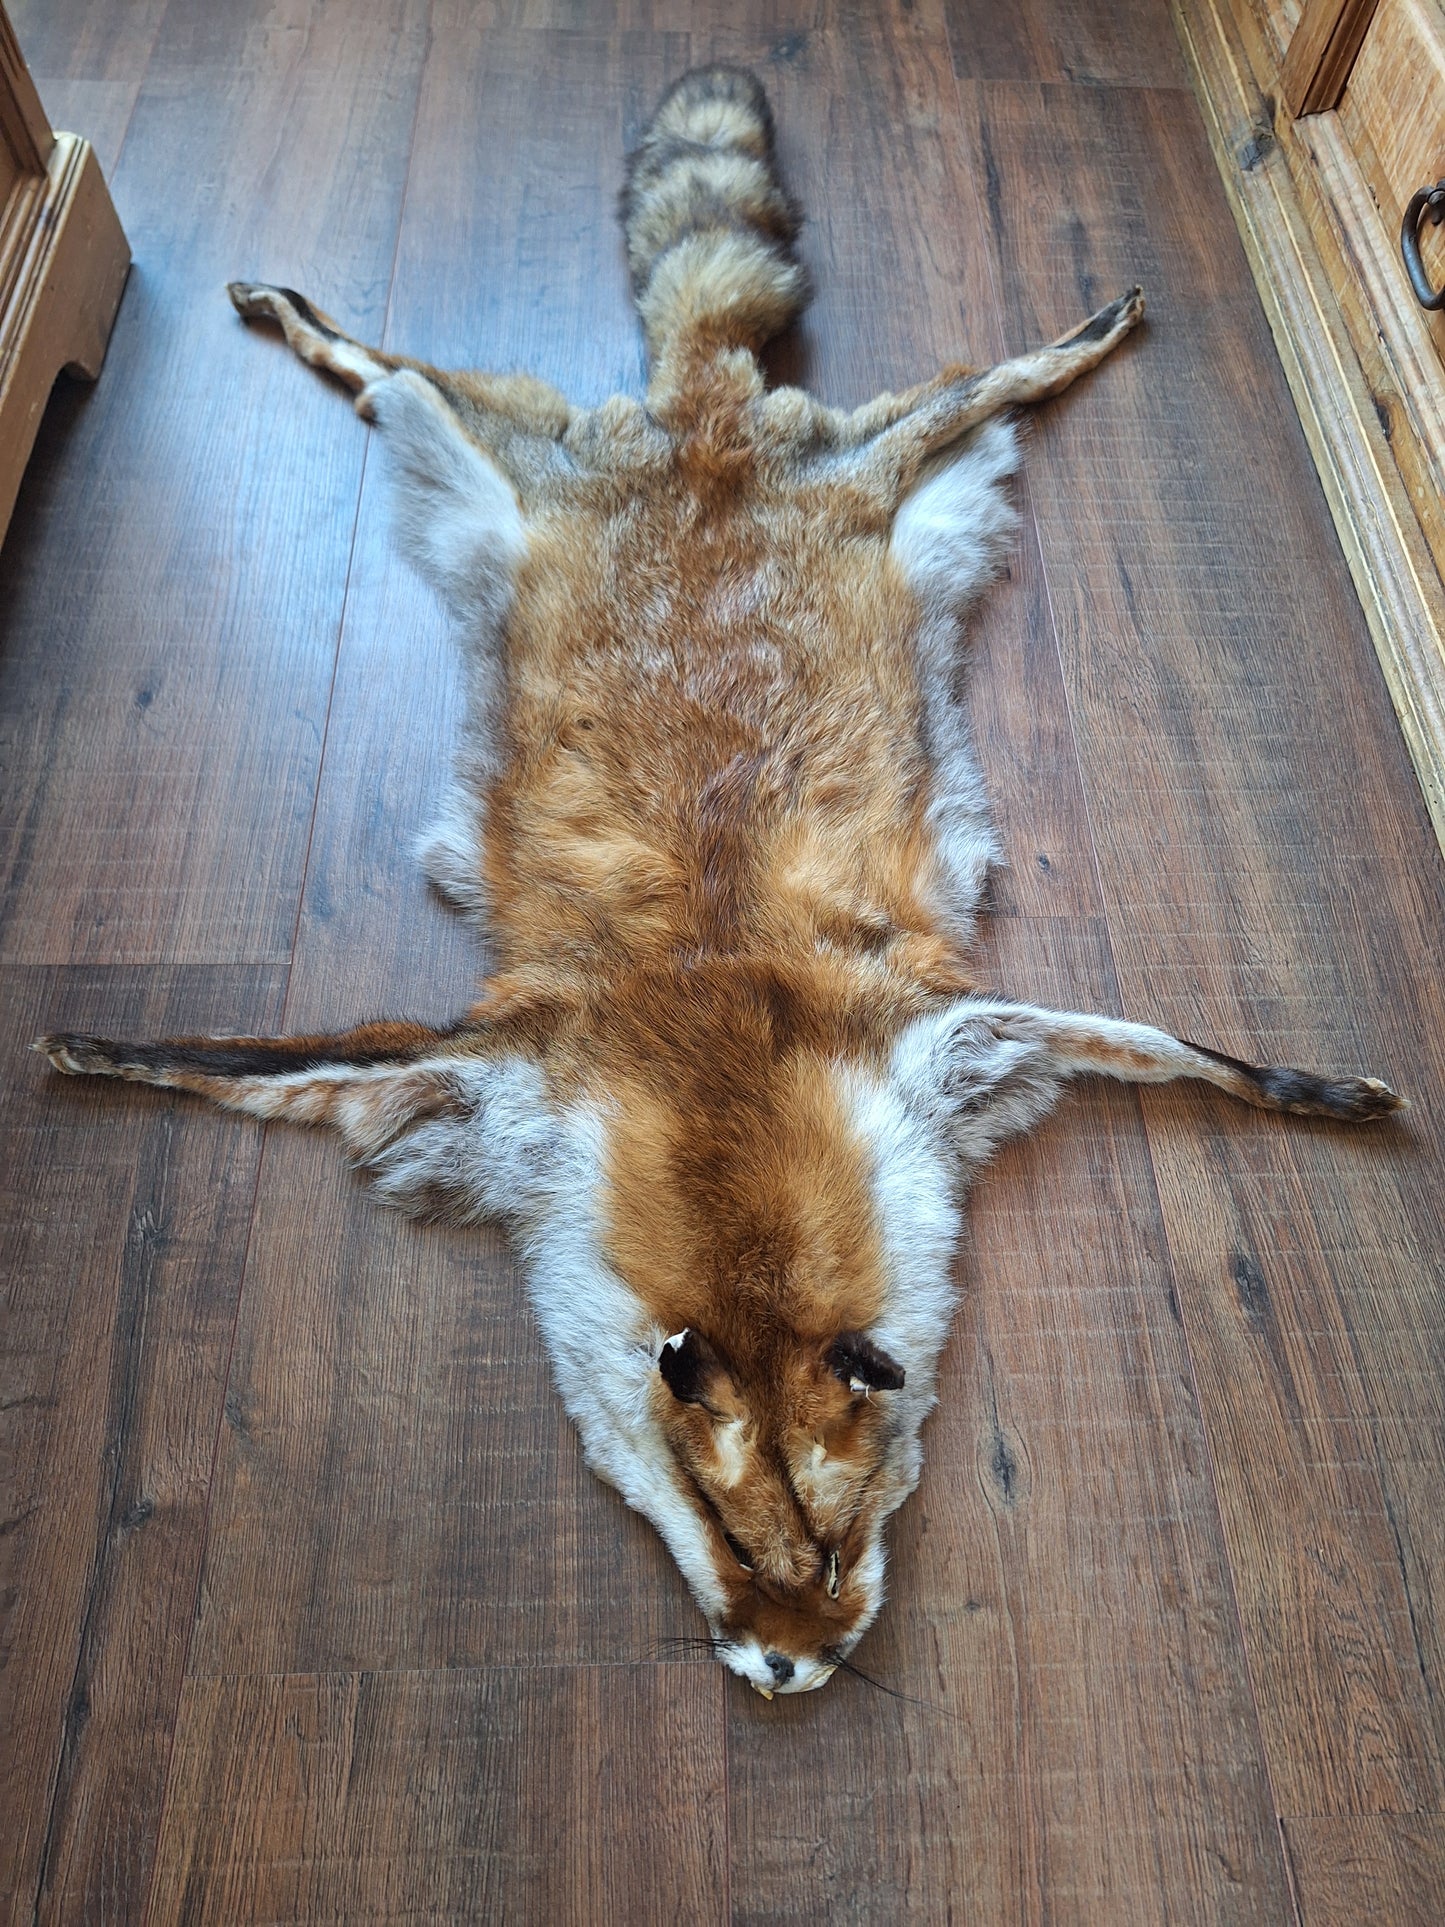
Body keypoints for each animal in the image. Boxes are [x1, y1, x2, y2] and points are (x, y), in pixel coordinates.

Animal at [36, 66, 1402, 1697]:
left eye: (837, 1534)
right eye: (734, 1540)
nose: (793, 1675)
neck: (712, 1033)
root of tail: (705, 424)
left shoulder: (926, 1023)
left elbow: (1189, 1046)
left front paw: (1321, 1090)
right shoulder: (526, 1054)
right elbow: (237, 1054)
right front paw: (94, 1047)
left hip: (882, 475)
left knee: (972, 386)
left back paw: (1076, 331)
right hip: (497, 459)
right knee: (394, 364)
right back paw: (294, 308)